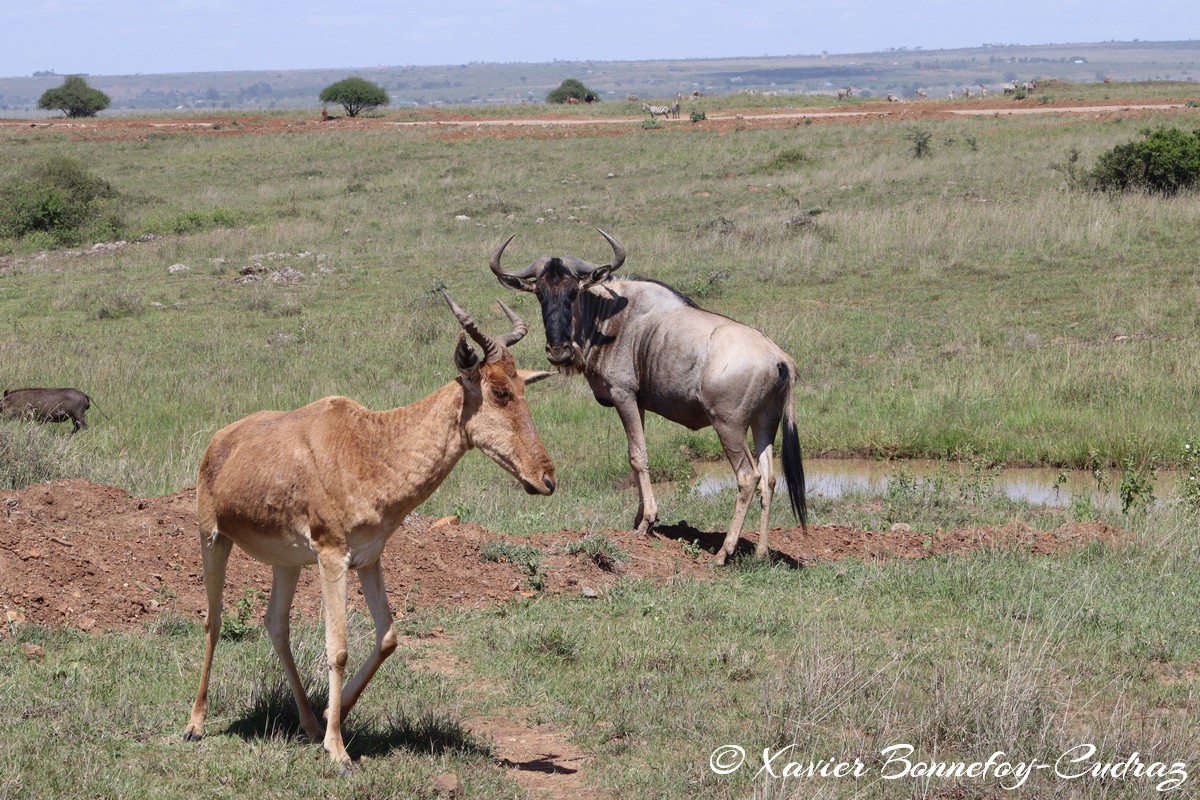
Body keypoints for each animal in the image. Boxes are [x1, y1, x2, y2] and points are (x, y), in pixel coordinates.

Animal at [182, 292, 556, 770]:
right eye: (499, 391)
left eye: (523, 387)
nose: (545, 479)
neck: (368, 444)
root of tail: (217, 442)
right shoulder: (331, 556)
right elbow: (337, 647)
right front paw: (338, 750)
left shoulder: (368, 558)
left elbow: (388, 637)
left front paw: (331, 717)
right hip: (213, 538)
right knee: (213, 620)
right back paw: (195, 725)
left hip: (287, 561)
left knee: (276, 625)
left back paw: (307, 724)